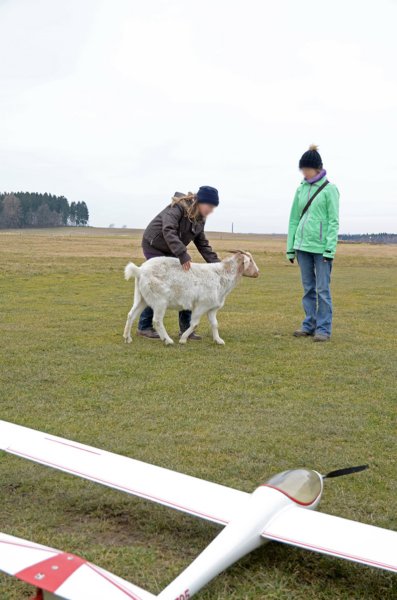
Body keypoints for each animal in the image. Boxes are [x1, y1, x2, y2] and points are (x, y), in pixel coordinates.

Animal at [124, 251, 260, 346]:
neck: (221, 275)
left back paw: (127, 338)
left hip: (141, 298)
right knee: (157, 321)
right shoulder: (201, 305)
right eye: (250, 260)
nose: (258, 272)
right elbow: (194, 324)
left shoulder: (212, 308)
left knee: (131, 314)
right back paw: (168, 340)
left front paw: (218, 340)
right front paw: (183, 339)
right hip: (160, 301)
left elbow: (215, 324)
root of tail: (139, 270)